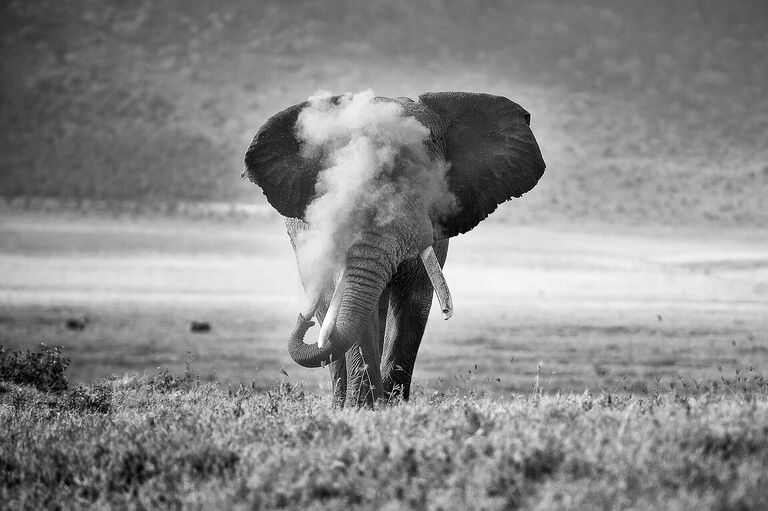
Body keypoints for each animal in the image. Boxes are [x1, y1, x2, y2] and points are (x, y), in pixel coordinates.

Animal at [243, 91, 544, 408]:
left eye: (424, 179)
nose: (303, 322)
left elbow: (414, 301)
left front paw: (390, 403)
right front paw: (364, 406)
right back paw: (341, 402)